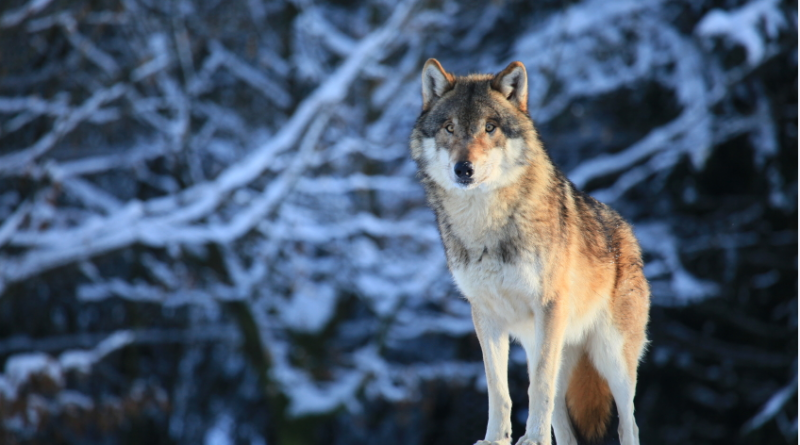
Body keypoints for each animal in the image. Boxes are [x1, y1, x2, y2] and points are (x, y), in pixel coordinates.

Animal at [410, 59, 652, 444]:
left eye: (490, 127)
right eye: (449, 128)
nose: (464, 169)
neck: (485, 224)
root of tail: (627, 231)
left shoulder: (548, 306)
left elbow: (537, 385)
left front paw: (532, 438)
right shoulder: (485, 315)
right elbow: (498, 389)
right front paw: (495, 439)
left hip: (611, 357)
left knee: (628, 422)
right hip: (547, 347)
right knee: (564, 423)